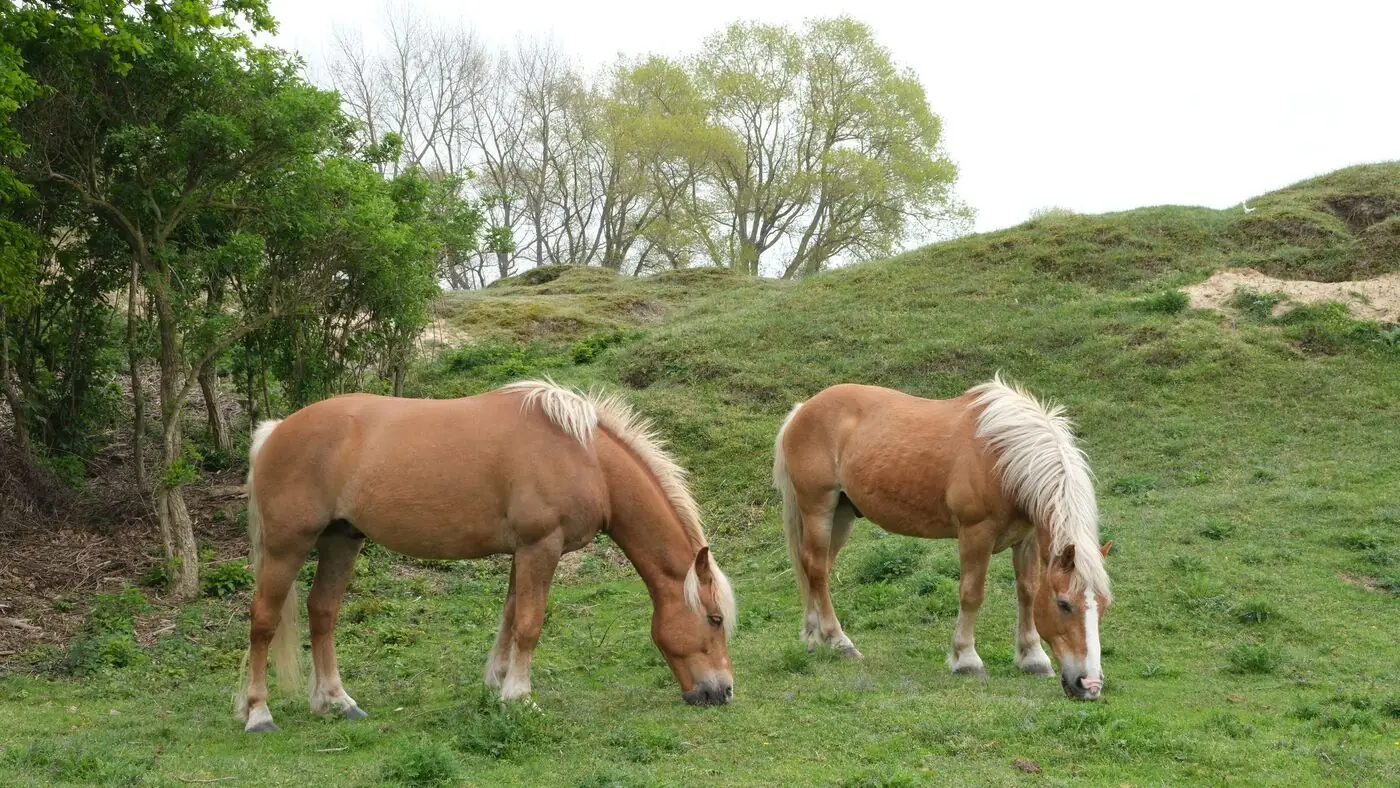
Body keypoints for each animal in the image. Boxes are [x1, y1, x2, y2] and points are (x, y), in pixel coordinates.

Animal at [234, 380, 737, 733]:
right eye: (714, 620)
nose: (723, 692)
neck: (585, 458)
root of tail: (276, 430)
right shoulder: (541, 546)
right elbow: (530, 623)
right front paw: (520, 696)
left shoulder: (524, 551)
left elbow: (511, 615)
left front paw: (498, 683)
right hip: (286, 546)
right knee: (263, 621)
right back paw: (258, 713)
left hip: (341, 540)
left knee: (323, 613)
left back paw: (336, 702)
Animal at [772, 375, 1112, 700]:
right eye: (1064, 604)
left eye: (1104, 604)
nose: (1089, 685)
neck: (1003, 457)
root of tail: (802, 410)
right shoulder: (976, 534)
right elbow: (972, 594)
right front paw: (966, 659)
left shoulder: (1026, 539)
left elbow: (1027, 592)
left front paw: (1033, 658)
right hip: (819, 510)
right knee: (816, 568)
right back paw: (838, 641)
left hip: (841, 516)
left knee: (817, 572)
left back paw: (814, 637)